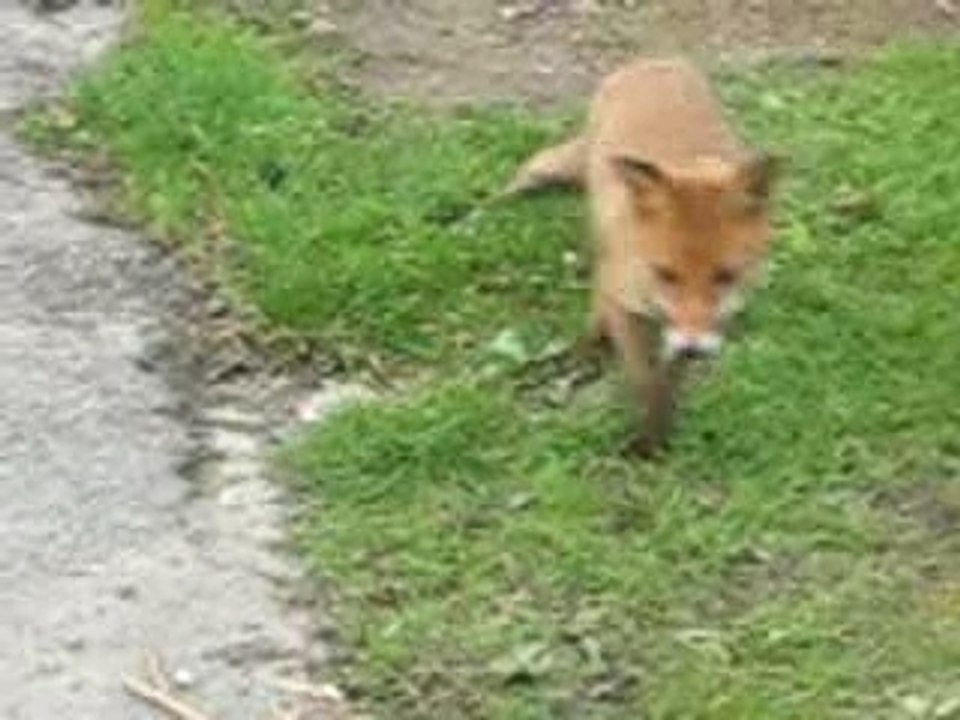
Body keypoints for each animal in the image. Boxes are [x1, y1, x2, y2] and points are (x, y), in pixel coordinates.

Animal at [504, 58, 782, 456]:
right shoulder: (626, 304)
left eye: (726, 275)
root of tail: (655, 59)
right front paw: (646, 438)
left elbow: (667, 381)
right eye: (665, 274)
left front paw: (657, 434)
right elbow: (642, 376)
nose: (694, 349)